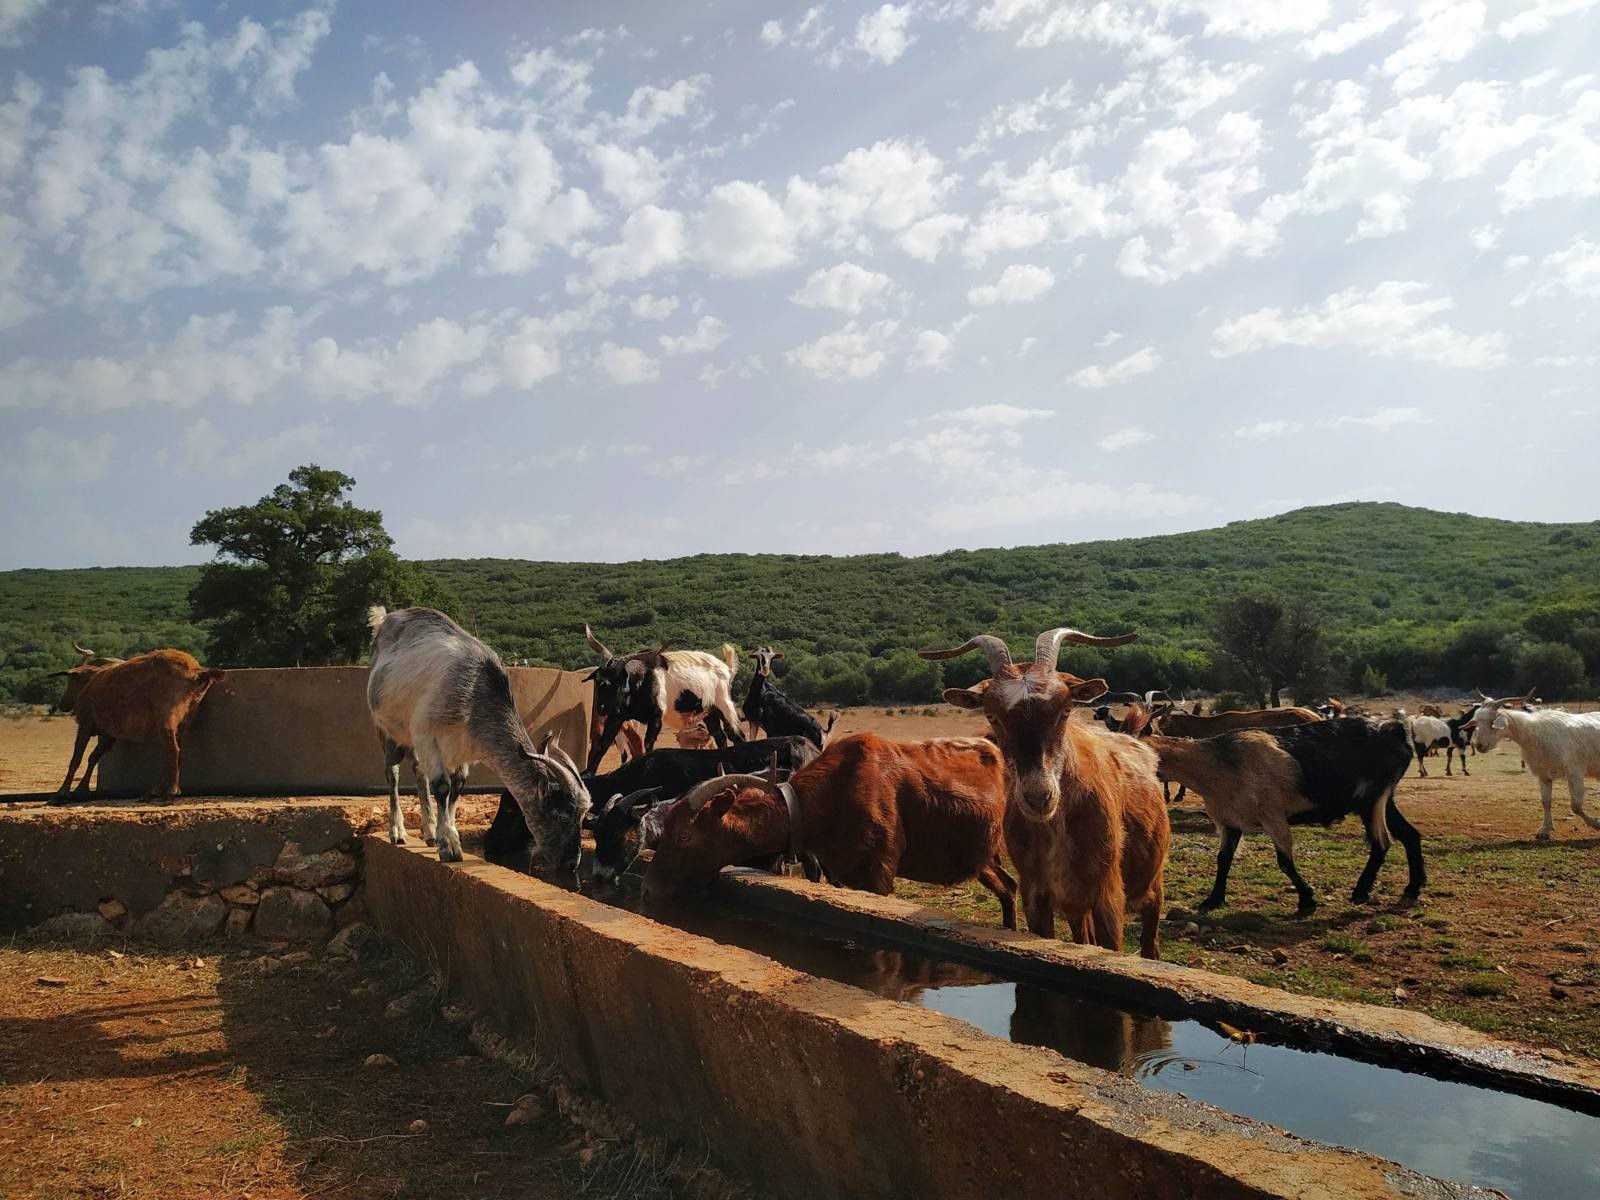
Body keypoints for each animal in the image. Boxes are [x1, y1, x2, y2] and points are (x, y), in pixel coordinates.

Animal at [368, 604, 595, 870]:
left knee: (418, 771)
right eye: (562, 816)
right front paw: (450, 847)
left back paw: (429, 832)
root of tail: (385, 619)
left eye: (583, 815)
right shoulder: (427, 734)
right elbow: (442, 786)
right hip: (385, 728)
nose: (571, 863)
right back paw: (398, 832)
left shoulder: (463, 747)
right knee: (392, 773)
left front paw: (447, 836)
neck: (474, 694)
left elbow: (457, 786)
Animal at [582, 624, 742, 774]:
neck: (641, 681)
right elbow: (603, 744)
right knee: (720, 736)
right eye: (598, 680)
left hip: (724, 706)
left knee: (736, 735)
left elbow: (648, 743)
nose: (602, 707)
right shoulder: (616, 717)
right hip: (709, 712)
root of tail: (726, 668)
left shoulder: (656, 716)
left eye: (619, 681)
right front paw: (588, 773)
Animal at [636, 732, 1011, 928]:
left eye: (685, 835)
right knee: (1009, 888)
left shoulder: (878, 875)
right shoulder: (840, 873)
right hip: (986, 860)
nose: (648, 888)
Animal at [921, 633, 1171, 966]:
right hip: (1076, 905)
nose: (1039, 797)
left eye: (1064, 710)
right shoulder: (1037, 895)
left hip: (1152, 885)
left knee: (1150, 941)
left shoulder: (1107, 895)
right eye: (992, 715)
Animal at [1465, 691, 1600, 838]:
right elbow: (1546, 802)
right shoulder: (1544, 775)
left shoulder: (1575, 773)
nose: (1479, 745)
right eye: (1477, 721)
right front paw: (1545, 830)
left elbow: (1575, 806)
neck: (1533, 733)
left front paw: (1596, 824)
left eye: (1491, 722)